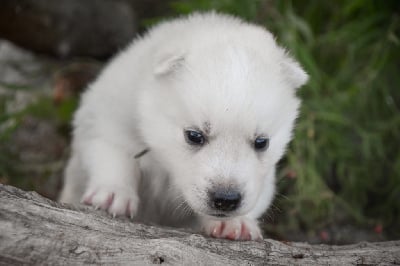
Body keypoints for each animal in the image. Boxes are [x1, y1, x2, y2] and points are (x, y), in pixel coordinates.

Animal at [59, 12, 308, 241]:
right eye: (194, 136)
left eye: (261, 142)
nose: (226, 200)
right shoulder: (107, 119)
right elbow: (115, 155)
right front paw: (113, 195)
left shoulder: (264, 177)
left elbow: (260, 193)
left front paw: (235, 223)